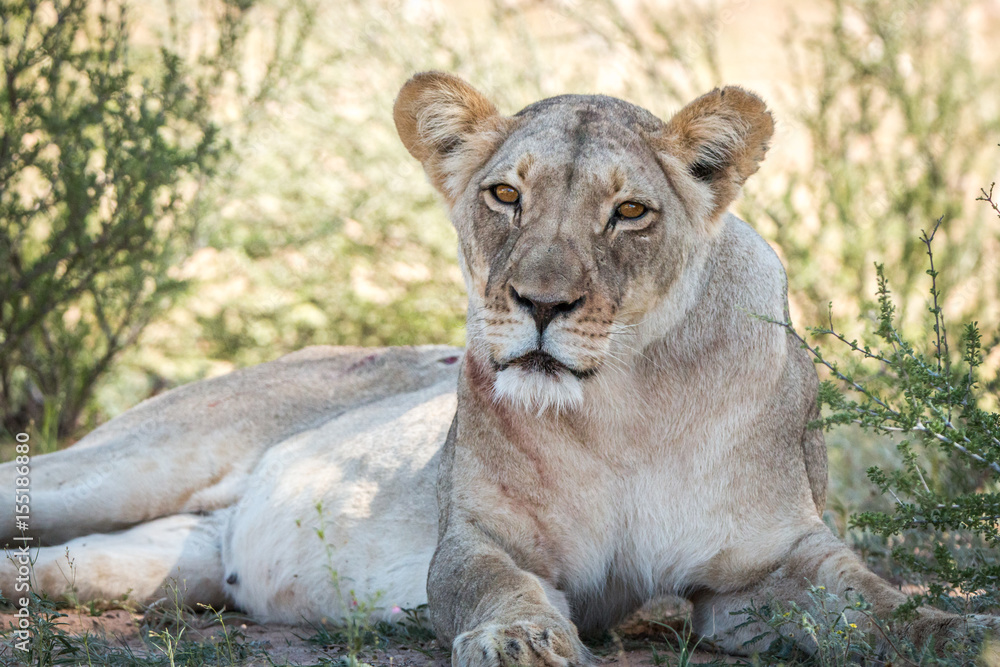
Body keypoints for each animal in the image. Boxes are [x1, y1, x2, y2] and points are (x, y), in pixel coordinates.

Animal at [1, 72, 994, 663]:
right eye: (505, 194)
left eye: (629, 211)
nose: (540, 304)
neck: (629, 404)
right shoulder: (479, 537)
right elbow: (495, 584)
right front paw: (522, 641)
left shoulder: (770, 563)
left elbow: (877, 601)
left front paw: (961, 631)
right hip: (126, 465)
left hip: (157, 558)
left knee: (50, 565)